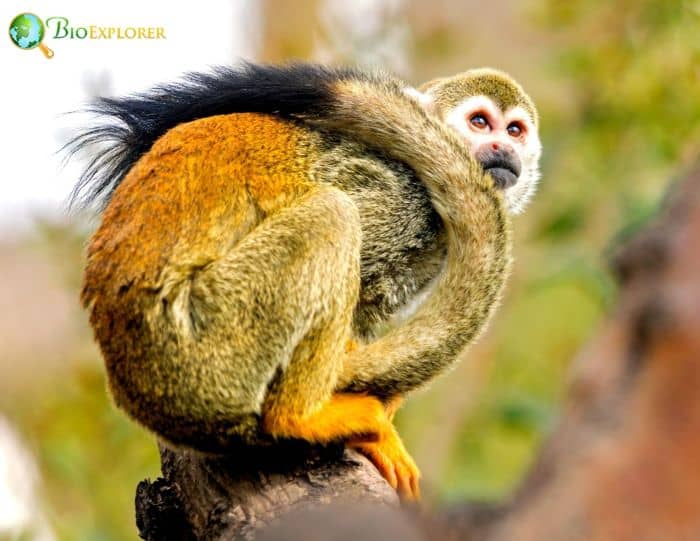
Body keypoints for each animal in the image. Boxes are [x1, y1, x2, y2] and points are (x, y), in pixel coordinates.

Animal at [68, 62, 540, 501]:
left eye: (515, 130)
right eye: (479, 122)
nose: (502, 147)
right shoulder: (397, 193)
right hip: (202, 338)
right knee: (334, 213)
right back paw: (301, 417)